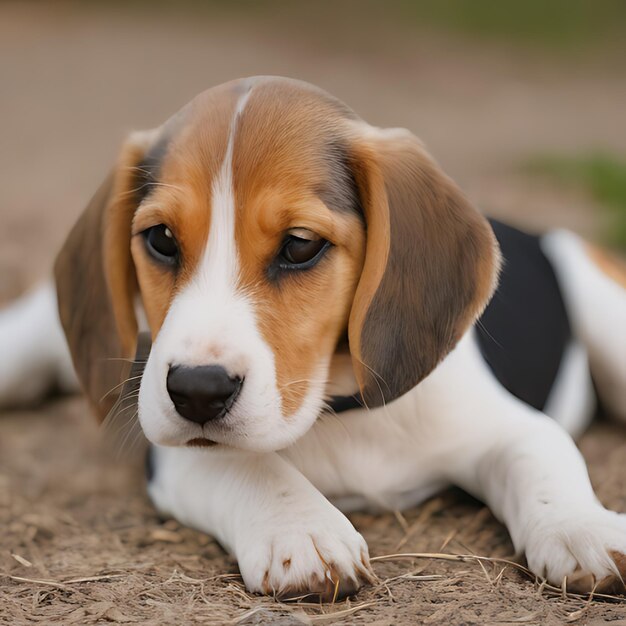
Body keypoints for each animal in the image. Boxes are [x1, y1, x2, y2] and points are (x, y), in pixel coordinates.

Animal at [1, 78, 624, 600]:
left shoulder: (506, 424)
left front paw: (583, 527)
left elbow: (543, 456)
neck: (338, 412)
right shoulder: (168, 442)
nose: (197, 391)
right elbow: (245, 464)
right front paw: (302, 529)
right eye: (160, 240)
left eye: (300, 245)